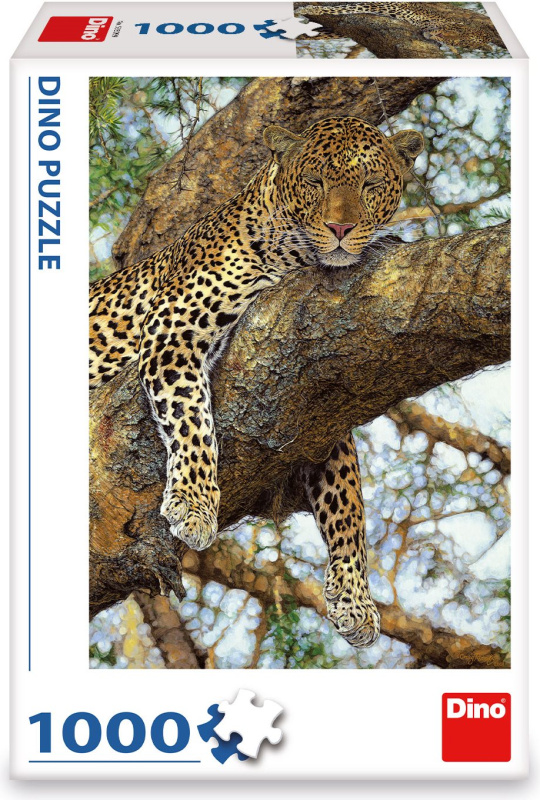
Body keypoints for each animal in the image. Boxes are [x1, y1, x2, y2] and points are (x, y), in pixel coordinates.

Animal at [89, 115, 424, 648]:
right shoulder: (171, 330)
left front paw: (354, 598)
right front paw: (194, 505)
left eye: (371, 185)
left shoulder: (321, 410)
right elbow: (193, 421)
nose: (341, 229)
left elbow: (348, 499)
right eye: (316, 182)